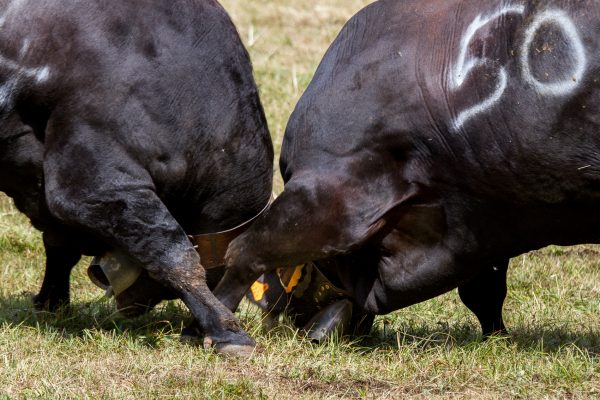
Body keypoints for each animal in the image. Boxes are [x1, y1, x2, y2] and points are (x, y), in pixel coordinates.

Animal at [0, 0, 272, 356]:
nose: (134, 304)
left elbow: (60, 246)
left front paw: (51, 301)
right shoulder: (93, 185)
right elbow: (172, 253)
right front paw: (226, 331)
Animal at [213, 0, 600, 344]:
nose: (297, 323)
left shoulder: (333, 194)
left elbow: (246, 250)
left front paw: (219, 319)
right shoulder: (488, 220)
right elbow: (484, 290)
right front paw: (498, 337)